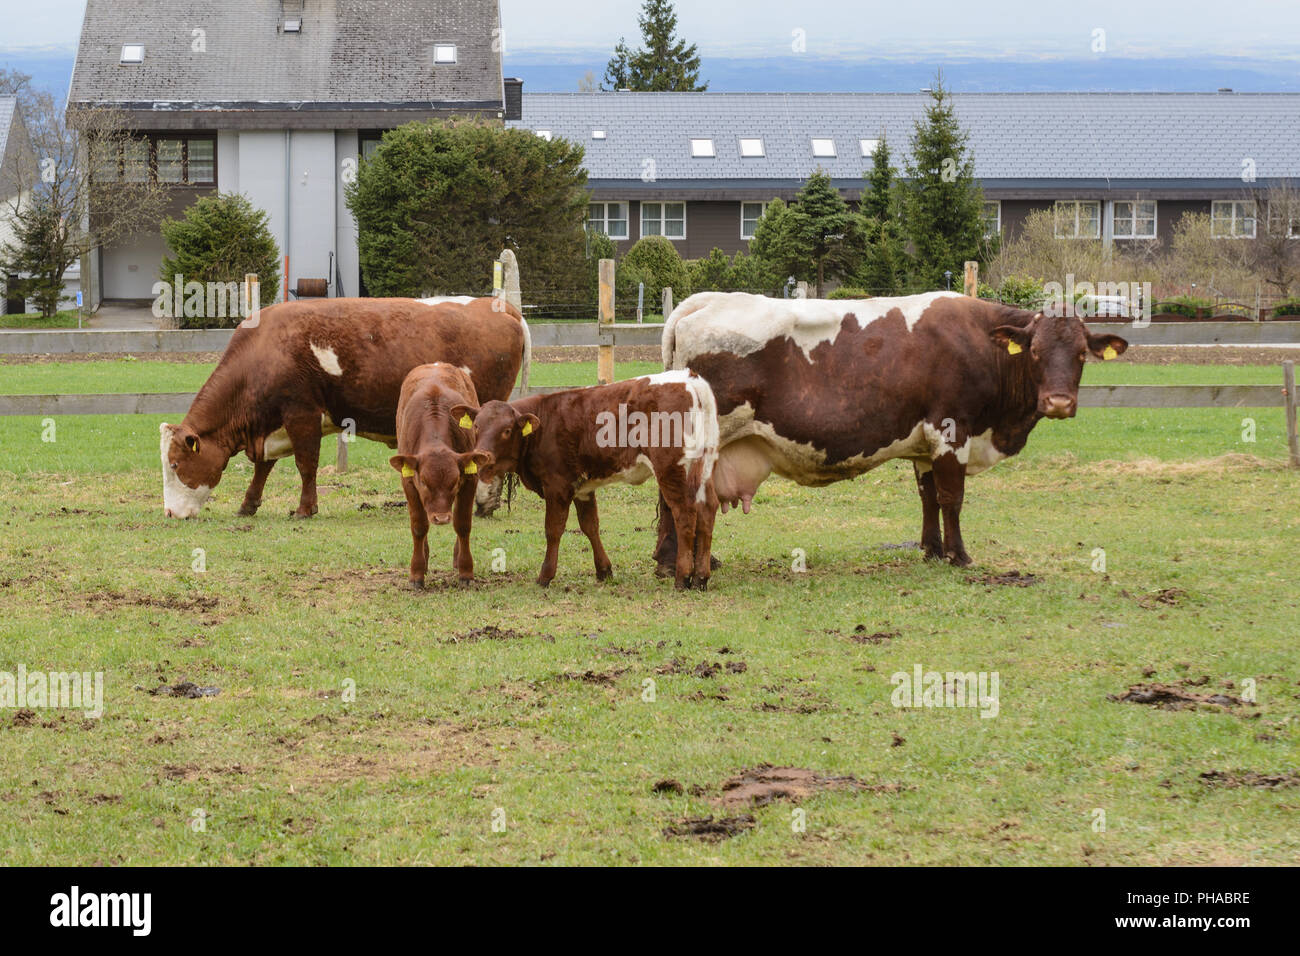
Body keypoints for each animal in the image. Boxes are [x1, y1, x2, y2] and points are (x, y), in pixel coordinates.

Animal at [159, 296, 529, 519]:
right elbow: (263, 467)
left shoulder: (302, 414)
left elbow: (306, 465)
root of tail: (496, 304)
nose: (170, 513)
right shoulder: (272, 426)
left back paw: (482, 504)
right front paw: (248, 505)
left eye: (175, 464)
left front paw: (305, 509)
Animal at [388, 363, 492, 588]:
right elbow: (419, 527)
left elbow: (463, 525)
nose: (442, 517)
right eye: (424, 483)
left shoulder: (469, 480)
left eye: (454, 482)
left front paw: (465, 571)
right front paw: (417, 573)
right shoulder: (408, 483)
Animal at [467, 370, 721, 589]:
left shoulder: (557, 486)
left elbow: (553, 529)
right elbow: (590, 525)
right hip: (704, 467)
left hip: (672, 470)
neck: (544, 422)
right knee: (707, 511)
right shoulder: (583, 489)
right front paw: (604, 570)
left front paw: (545, 576)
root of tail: (689, 378)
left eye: (507, 430)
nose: (482, 456)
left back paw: (682, 578)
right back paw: (701, 578)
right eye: (476, 426)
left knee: (685, 514)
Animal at [655, 292, 1128, 569]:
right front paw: (959, 556)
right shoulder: (951, 429)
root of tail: (701, 301)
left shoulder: (925, 444)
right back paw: (673, 560)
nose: (1059, 402)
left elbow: (929, 497)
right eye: (1035, 351)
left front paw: (931, 550)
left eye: (1082, 354)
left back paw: (669, 558)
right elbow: (953, 497)